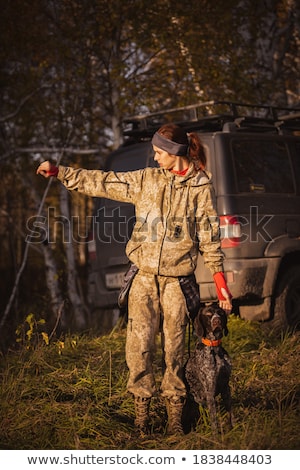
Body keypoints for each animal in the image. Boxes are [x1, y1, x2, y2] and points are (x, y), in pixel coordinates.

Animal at [184, 304, 233, 434]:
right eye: (208, 314)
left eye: (220, 313)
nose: (217, 321)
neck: (214, 348)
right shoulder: (210, 391)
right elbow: (214, 421)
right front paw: (216, 437)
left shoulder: (226, 386)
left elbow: (230, 413)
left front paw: (234, 429)